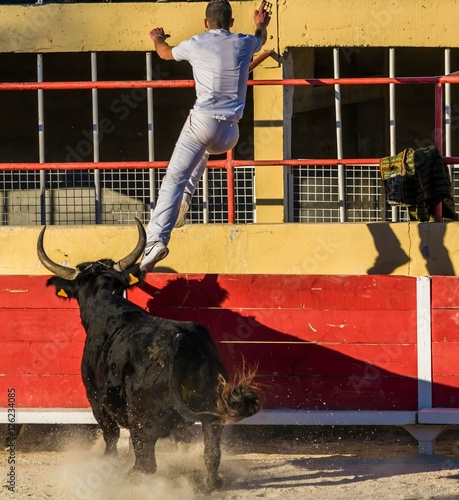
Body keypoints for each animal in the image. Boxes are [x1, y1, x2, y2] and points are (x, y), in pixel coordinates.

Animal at [36, 220, 262, 492]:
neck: (109, 307)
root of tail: (179, 342)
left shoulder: (96, 399)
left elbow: (110, 437)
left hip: (142, 421)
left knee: (145, 463)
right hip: (212, 411)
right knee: (211, 453)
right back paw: (209, 485)